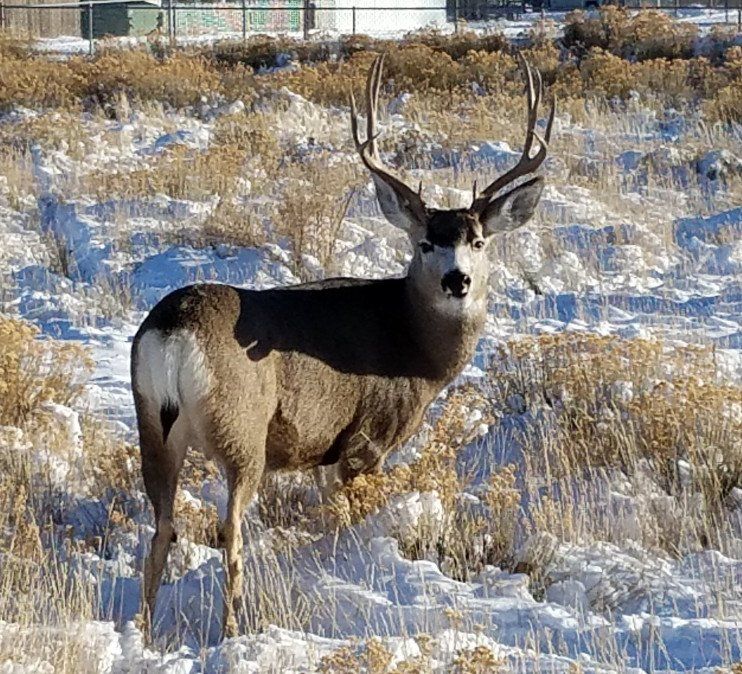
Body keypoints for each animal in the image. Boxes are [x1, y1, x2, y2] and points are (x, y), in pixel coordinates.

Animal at [130, 54, 554, 640]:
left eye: (477, 241)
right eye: (426, 243)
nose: (458, 280)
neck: (413, 343)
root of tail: (173, 330)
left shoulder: (323, 451)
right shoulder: (368, 436)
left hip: (152, 427)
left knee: (160, 530)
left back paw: (146, 633)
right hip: (241, 431)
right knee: (229, 532)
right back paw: (233, 629)